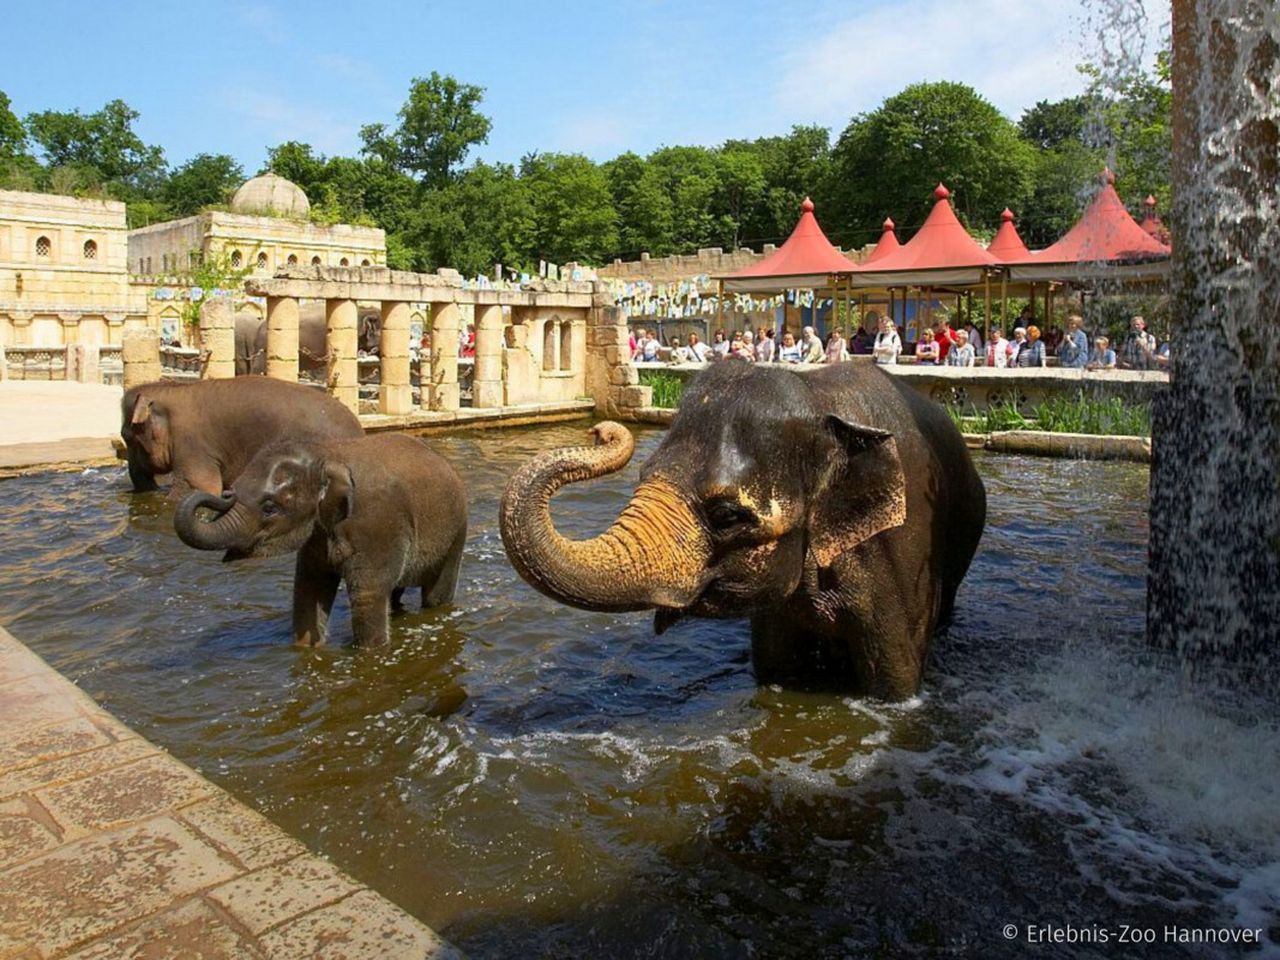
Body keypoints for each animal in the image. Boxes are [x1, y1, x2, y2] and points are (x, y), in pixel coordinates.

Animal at [172, 435, 468, 647]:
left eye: (269, 507)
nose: (226, 493)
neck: (326, 454)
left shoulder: (377, 523)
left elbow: (367, 595)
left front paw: (371, 652)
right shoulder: (316, 534)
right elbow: (309, 589)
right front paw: (307, 648)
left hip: (456, 533)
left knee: (436, 593)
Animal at [499, 360, 988, 701]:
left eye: (728, 516)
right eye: (644, 474)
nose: (600, 429)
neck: (819, 399)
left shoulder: (899, 555)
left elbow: (896, 680)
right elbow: (774, 667)